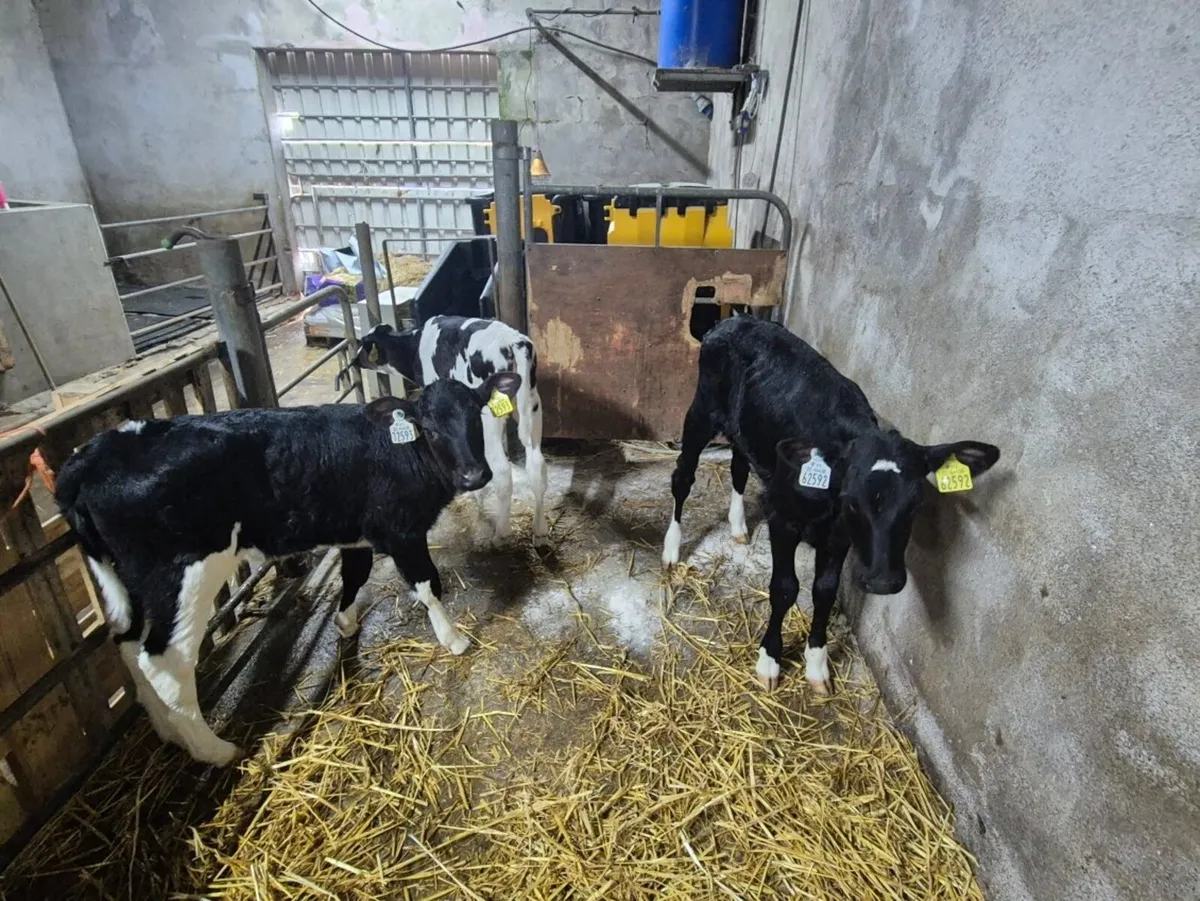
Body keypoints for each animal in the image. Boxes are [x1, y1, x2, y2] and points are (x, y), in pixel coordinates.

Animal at [55, 373, 521, 765]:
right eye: (430, 427)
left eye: (475, 415)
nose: (474, 475)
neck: (397, 450)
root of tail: (91, 457)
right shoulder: (401, 529)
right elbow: (428, 583)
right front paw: (453, 639)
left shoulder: (355, 531)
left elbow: (356, 574)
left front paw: (345, 622)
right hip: (184, 576)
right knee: (165, 662)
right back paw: (214, 750)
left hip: (132, 583)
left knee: (128, 645)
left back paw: (170, 733)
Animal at [350, 316, 547, 542]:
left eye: (365, 343)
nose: (354, 360)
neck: (413, 345)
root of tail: (512, 342)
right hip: (532, 404)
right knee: (536, 466)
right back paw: (540, 529)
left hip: (490, 420)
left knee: (503, 472)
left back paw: (502, 531)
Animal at [662, 316, 999, 693]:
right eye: (852, 501)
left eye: (917, 503)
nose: (883, 582)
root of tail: (736, 319)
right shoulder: (783, 517)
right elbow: (785, 588)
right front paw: (769, 661)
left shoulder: (839, 536)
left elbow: (824, 590)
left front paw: (817, 665)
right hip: (701, 411)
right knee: (683, 477)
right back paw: (671, 549)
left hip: (743, 432)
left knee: (738, 466)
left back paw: (737, 527)